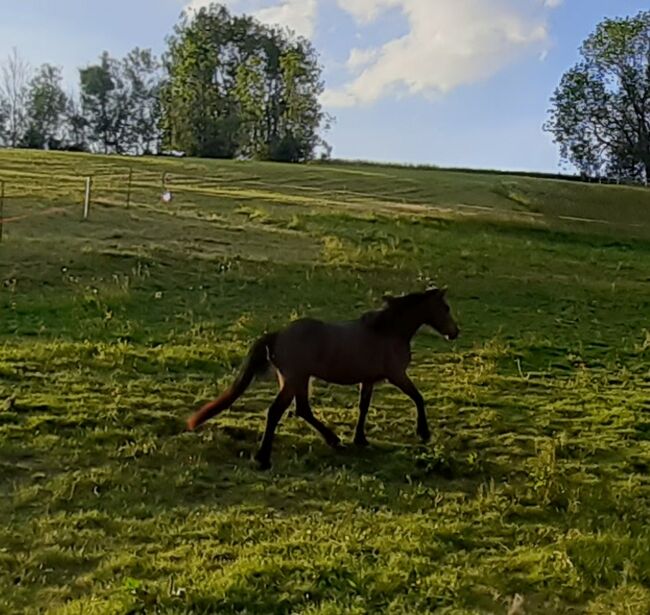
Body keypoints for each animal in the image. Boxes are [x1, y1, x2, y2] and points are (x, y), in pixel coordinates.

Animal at [186, 286, 460, 470]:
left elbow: (363, 407)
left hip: (299, 380)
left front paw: (360, 439)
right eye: (445, 308)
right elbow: (418, 398)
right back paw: (263, 458)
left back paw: (334, 441)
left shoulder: (369, 379)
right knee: (276, 412)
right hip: (294, 380)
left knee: (302, 410)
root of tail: (278, 334)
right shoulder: (396, 375)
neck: (388, 331)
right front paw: (423, 432)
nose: (455, 333)